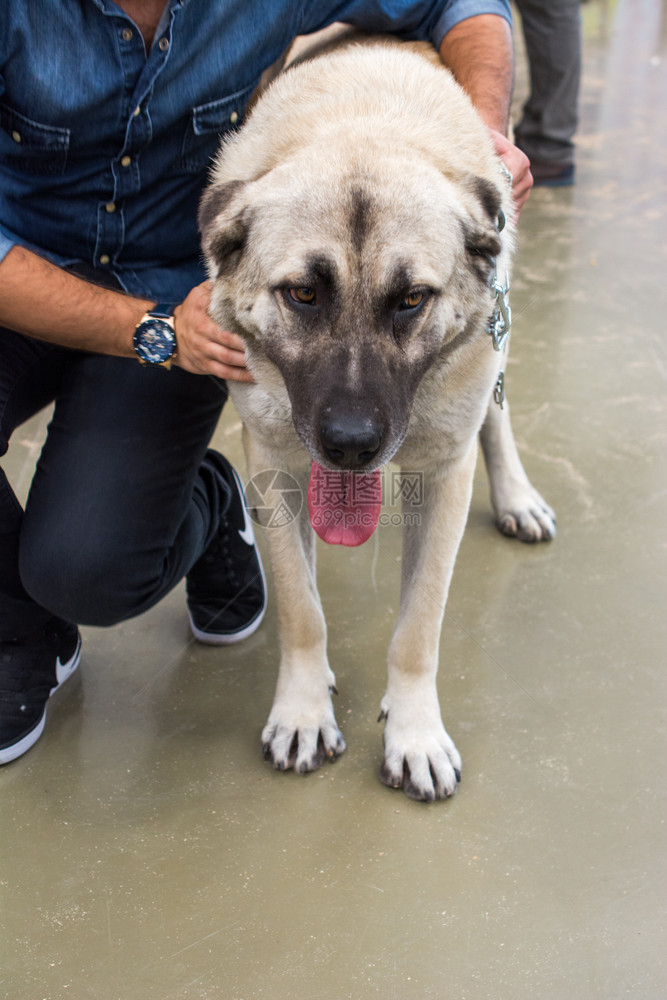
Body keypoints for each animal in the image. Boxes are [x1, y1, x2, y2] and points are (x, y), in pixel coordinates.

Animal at [200, 39, 560, 800]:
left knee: (496, 414)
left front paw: (414, 733)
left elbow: (417, 627)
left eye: (411, 299)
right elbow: (302, 610)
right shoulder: (274, 464)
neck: (360, 121)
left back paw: (516, 495)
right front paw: (303, 712)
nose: (350, 445)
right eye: (303, 294)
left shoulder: (443, 473)